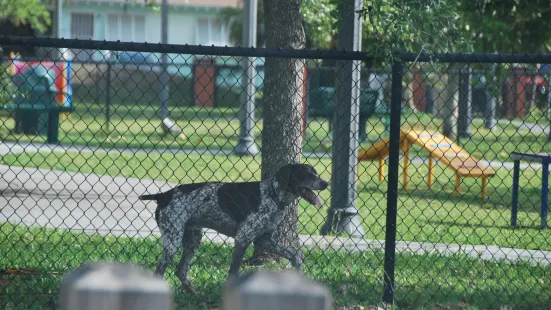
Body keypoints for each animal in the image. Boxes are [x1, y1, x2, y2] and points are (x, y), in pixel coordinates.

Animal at [139, 163, 328, 292]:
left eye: (316, 173)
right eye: (307, 174)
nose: (325, 183)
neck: (273, 195)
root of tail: (163, 195)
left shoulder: (265, 240)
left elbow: (295, 255)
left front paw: (302, 277)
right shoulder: (243, 239)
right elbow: (233, 273)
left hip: (193, 239)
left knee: (180, 270)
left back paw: (192, 291)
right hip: (173, 241)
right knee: (160, 273)